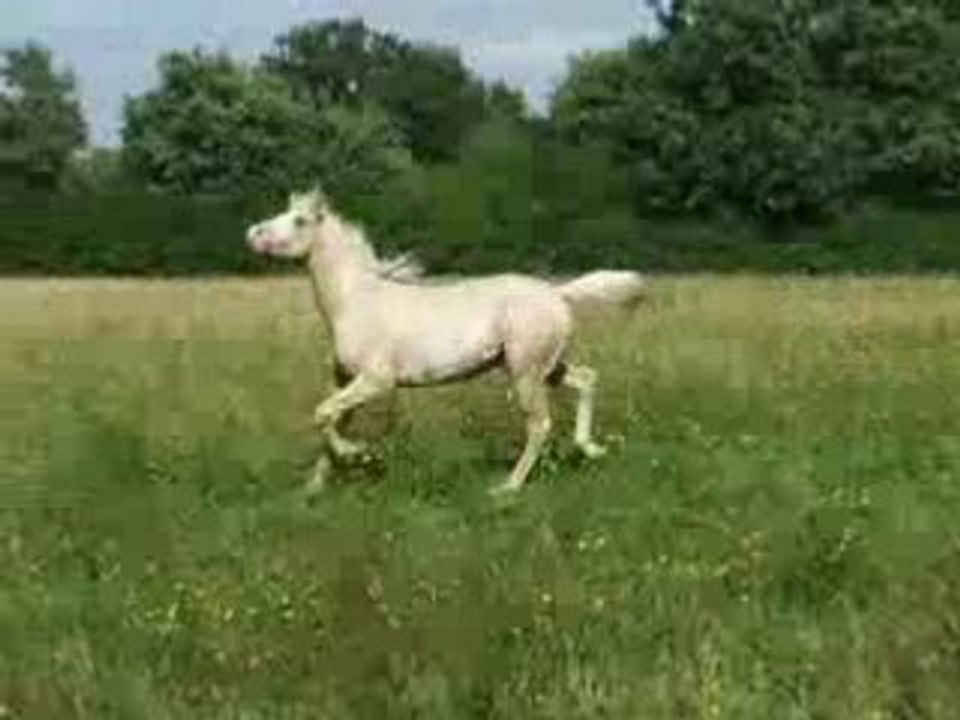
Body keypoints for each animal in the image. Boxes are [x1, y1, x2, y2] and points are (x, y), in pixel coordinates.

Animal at [246, 188, 646, 495]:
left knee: (539, 424)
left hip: (525, 372)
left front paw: (360, 454)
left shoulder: (377, 380)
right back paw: (591, 448)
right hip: (547, 367)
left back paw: (507, 487)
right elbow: (331, 419)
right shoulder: (345, 380)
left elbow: (323, 415)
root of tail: (558, 292)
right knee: (587, 379)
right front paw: (312, 488)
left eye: (299, 220)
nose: (253, 232)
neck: (355, 300)